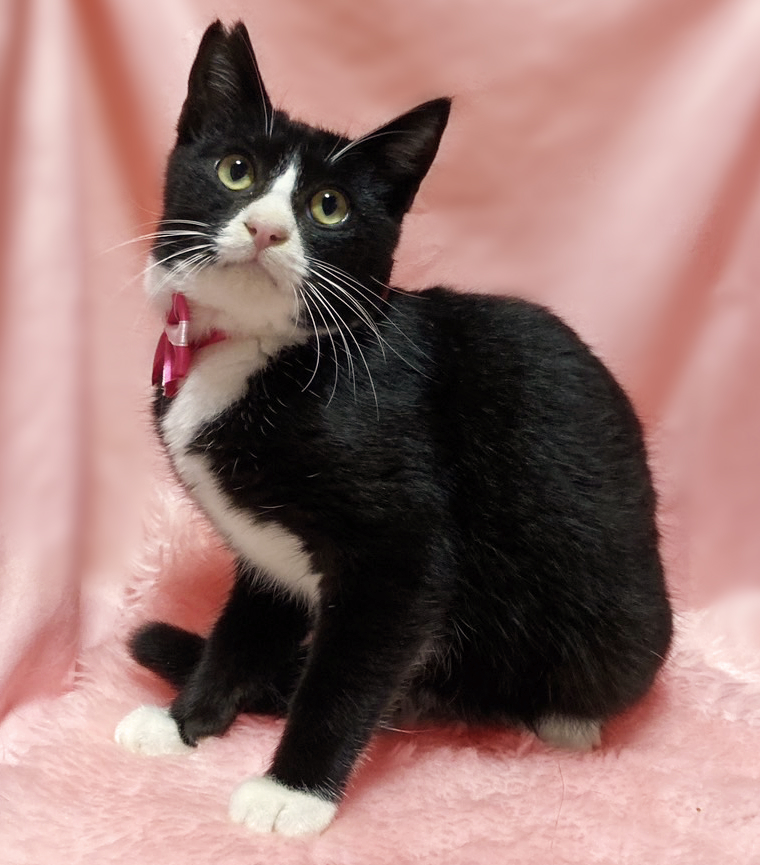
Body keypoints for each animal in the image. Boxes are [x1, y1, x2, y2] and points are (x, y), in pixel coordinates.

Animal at [115, 20, 673, 837]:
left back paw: (563, 721)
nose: (266, 227)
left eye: (329, 207)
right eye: (236, 170)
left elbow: (348, 670)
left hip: (614, 625)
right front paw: (186, 720)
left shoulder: (400, 549)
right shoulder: (263, 553)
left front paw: (291, 789)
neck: (255, 353)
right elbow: (242, 628)